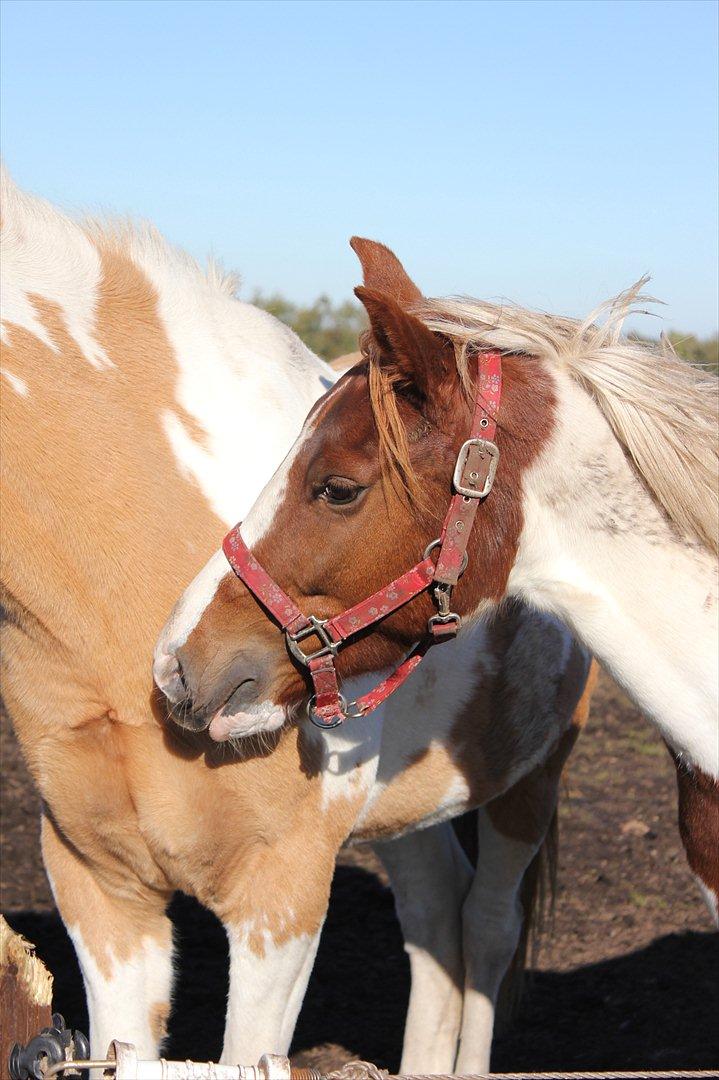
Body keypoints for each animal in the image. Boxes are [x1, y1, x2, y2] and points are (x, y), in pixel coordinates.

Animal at [2, 170, 591, 1071]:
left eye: (337, 489)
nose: (183, 673)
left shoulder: (279, 892)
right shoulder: (99, 886)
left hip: (533, 773)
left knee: (488, 927)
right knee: (434, 916)